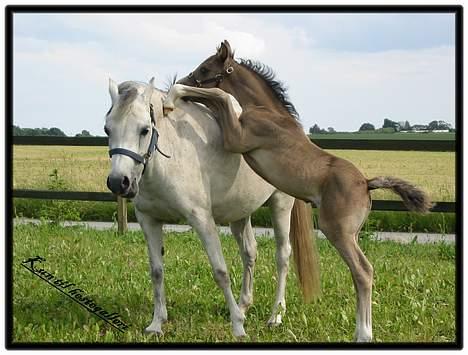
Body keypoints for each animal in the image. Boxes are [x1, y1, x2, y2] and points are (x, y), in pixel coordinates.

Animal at [104, 78, 312, 340]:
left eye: (144, 129)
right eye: (107, 129)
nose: (118, 182)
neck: (170, 156)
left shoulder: (202, 219)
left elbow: (220, 271)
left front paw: (237, 327)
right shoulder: (148, 220)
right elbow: (157, 272)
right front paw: (156, 323)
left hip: (281, 203)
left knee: (283, 256)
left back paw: (275, 316)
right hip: (240, 213)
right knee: (249, 253)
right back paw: (244, 306)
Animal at [164, 39, 432, 342]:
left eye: (205, 68)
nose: (179, 80)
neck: (266, 110)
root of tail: (366, 182)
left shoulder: (237, 138)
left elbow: (219, 97)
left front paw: (174, 97)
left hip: (335, 229)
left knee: (362, 271)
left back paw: (361, 333)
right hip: (352, 233)